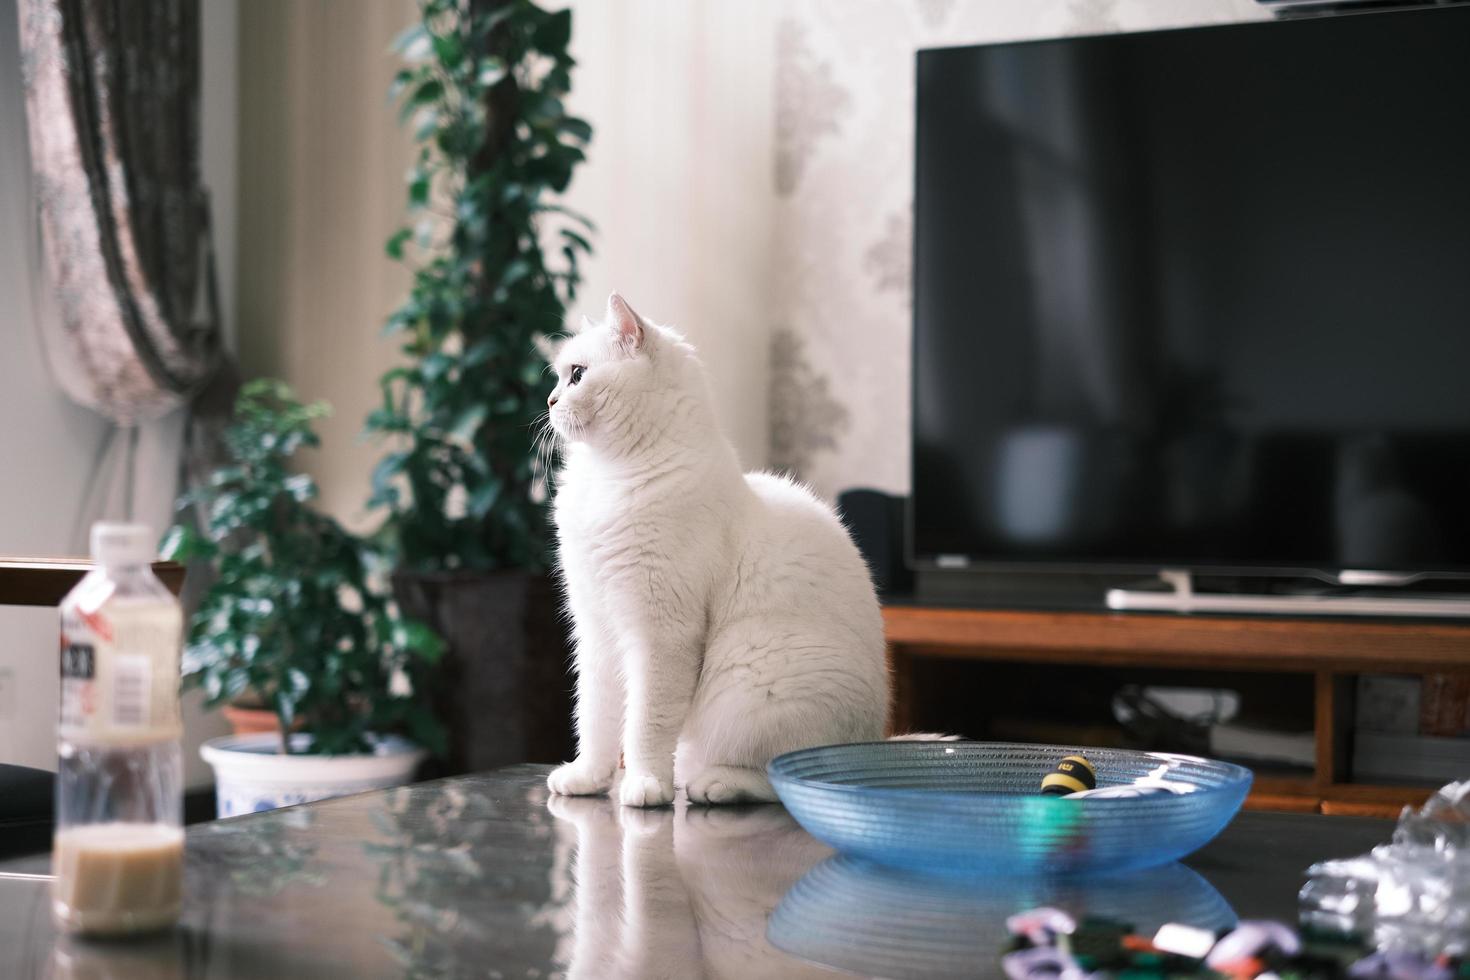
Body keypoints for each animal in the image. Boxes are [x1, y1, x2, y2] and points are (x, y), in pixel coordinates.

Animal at [540, 295, 882, 811]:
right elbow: (596, 719)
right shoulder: (597, 630)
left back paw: (711, 785)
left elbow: (644, 725)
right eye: (560, 377)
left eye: (576, 375)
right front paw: (587, 779)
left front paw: (644, 785)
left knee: (786, 780)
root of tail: (874, 744)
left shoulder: (660, 635)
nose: (549, 401)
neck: (608, 474)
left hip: (747, 682)